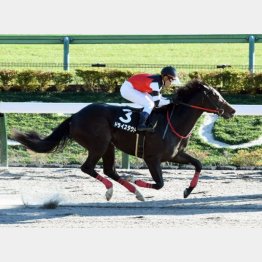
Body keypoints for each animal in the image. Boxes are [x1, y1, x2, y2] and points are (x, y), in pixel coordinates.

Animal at [12, 81, 235, 202]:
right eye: (215, 96)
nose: (232, 110)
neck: (174, 122)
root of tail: (75, 116)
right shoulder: (152, 158)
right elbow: (160, 184)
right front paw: (139, 180)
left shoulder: (175, 155)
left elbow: (198, 164)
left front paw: (188, 190)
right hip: (99, 144)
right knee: (88, 168)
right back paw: (116, 189)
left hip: (108, 146)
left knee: (109, 170)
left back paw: (135, 192)